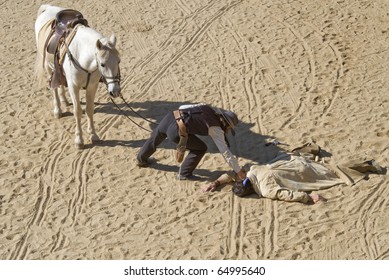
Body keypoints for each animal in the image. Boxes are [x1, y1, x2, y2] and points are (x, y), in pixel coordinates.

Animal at [34, 3, 120, 149]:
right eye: (102, 64)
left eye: (119, 61)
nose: (115, 91)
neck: (81, 55)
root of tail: (47, 7)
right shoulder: (74, 87)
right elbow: (78, 111)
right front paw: (79, 140)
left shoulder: (92, 86)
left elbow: (89, 109)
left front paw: (93, 135)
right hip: (48, 67)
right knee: (54, 88)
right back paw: (58, 110)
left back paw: (64, 100)